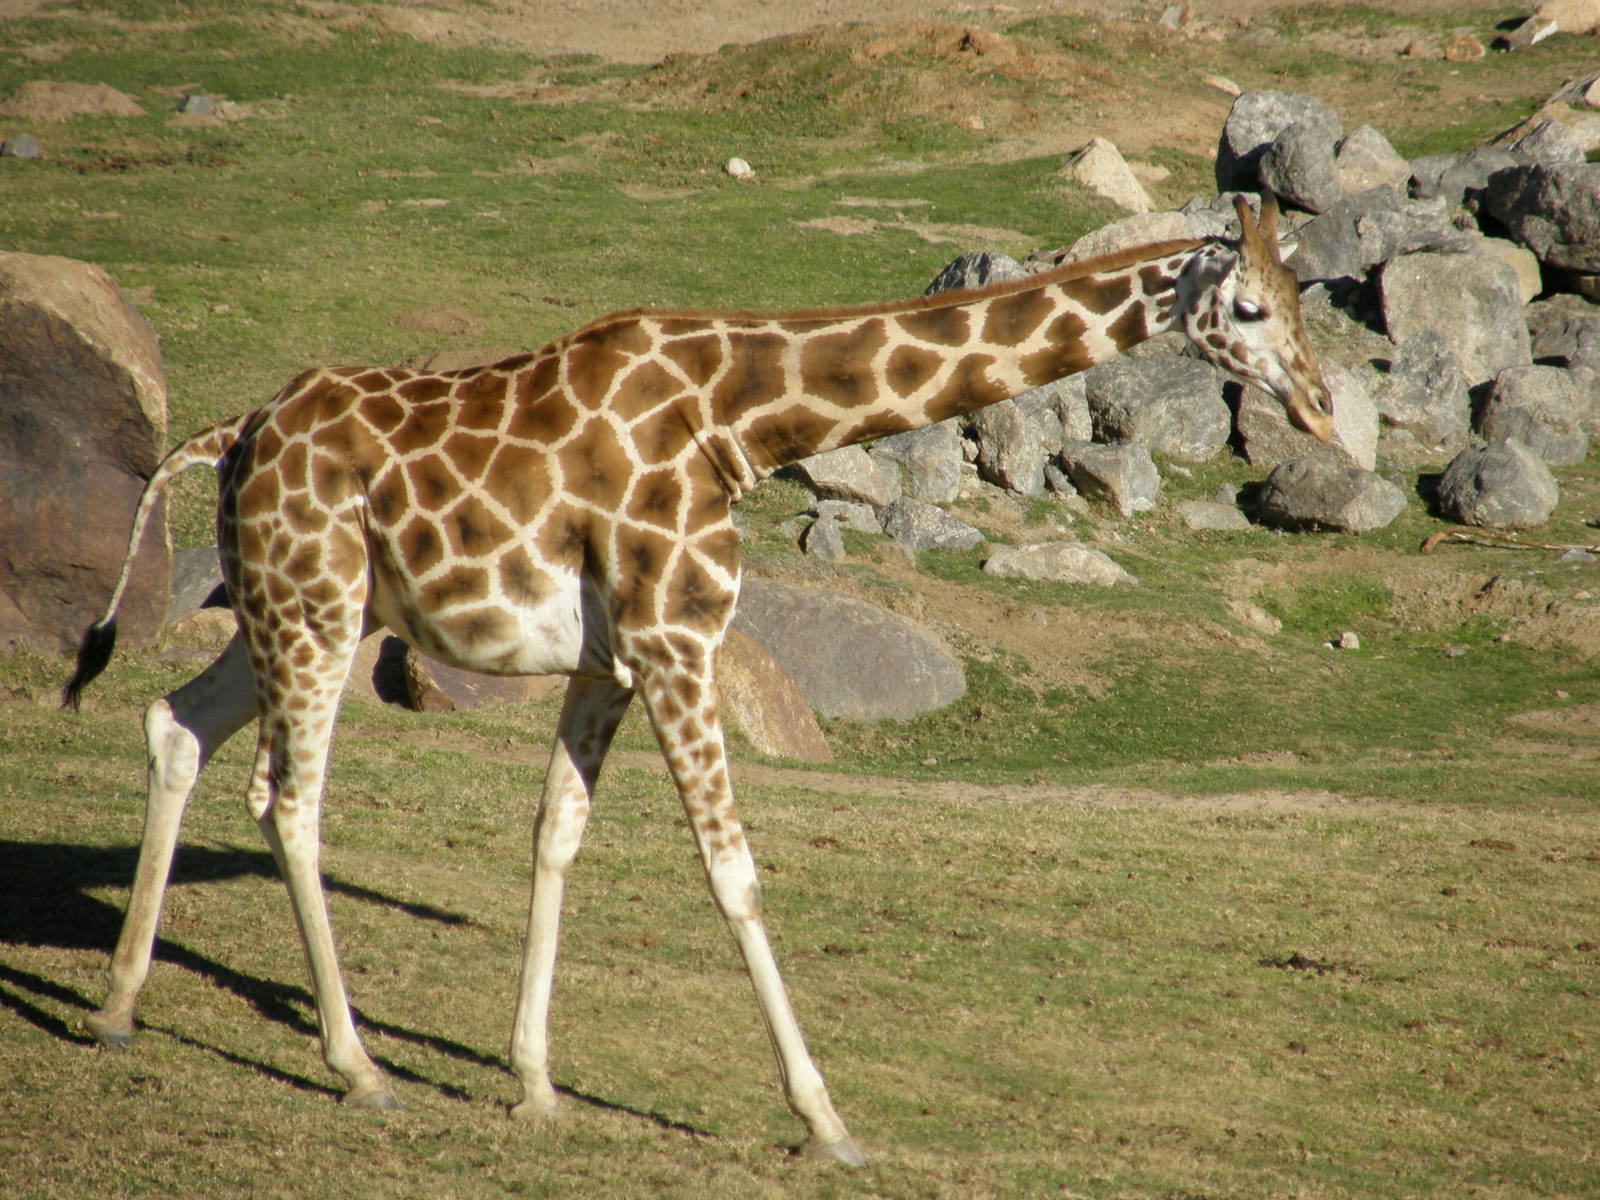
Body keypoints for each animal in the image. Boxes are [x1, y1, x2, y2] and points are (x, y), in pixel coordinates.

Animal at [64, 194, 1329, 1164]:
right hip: (316, 609)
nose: (1318, 408)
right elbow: (734, 873)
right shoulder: (678, 638)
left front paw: (534, 1085)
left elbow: (555, 838)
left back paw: (119, 1008)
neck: (742, 416)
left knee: (177, 723)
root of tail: (234, 436)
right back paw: (357, 1066)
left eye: (1305, 301)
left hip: (290, 608)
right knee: (291, 799)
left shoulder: (609, 656)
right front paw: (826, 1122)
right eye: (1250, 308)